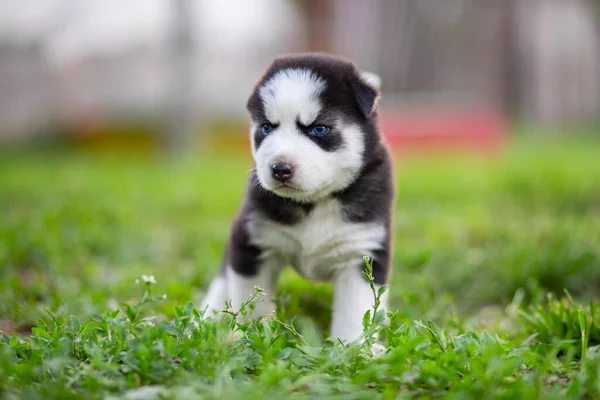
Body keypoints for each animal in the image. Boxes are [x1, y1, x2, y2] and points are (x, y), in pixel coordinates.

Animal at [204, 51, 396, 342]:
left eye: (318, 129)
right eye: (266, 128)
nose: (280, 168)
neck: (314, 203)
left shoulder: (362, 250)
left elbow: (355, 312)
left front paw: (354, 347)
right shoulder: (251, 241)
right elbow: (251, 301)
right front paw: (250, 338)